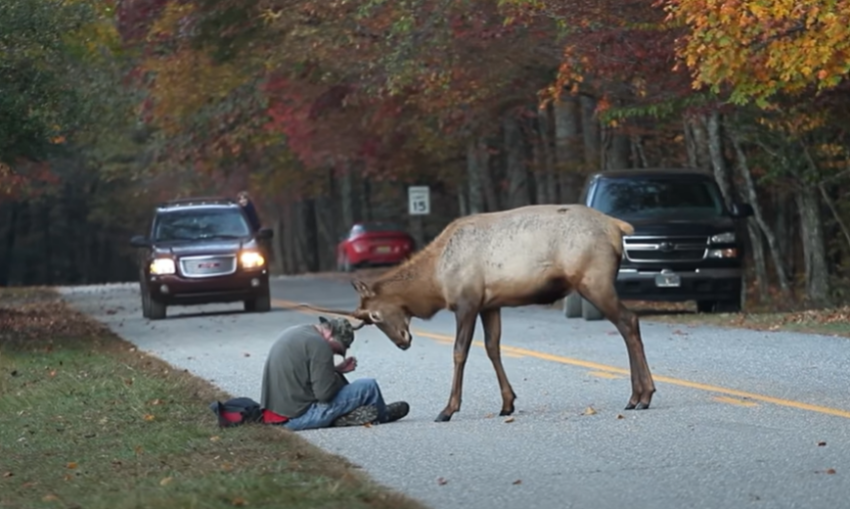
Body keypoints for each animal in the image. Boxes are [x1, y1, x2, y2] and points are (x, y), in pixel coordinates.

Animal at [344, 202, 656, 420]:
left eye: (375, 316)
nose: (402, 342)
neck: (436, 282)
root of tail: (617, 227)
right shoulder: (490, 305)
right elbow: (493, 348)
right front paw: (507, 403)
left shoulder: (467, 302)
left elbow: (459, 352)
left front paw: (448, 409)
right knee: (628, 323)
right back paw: (637, 397)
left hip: (593, 280)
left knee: (629, 321)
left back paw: (642, 396)